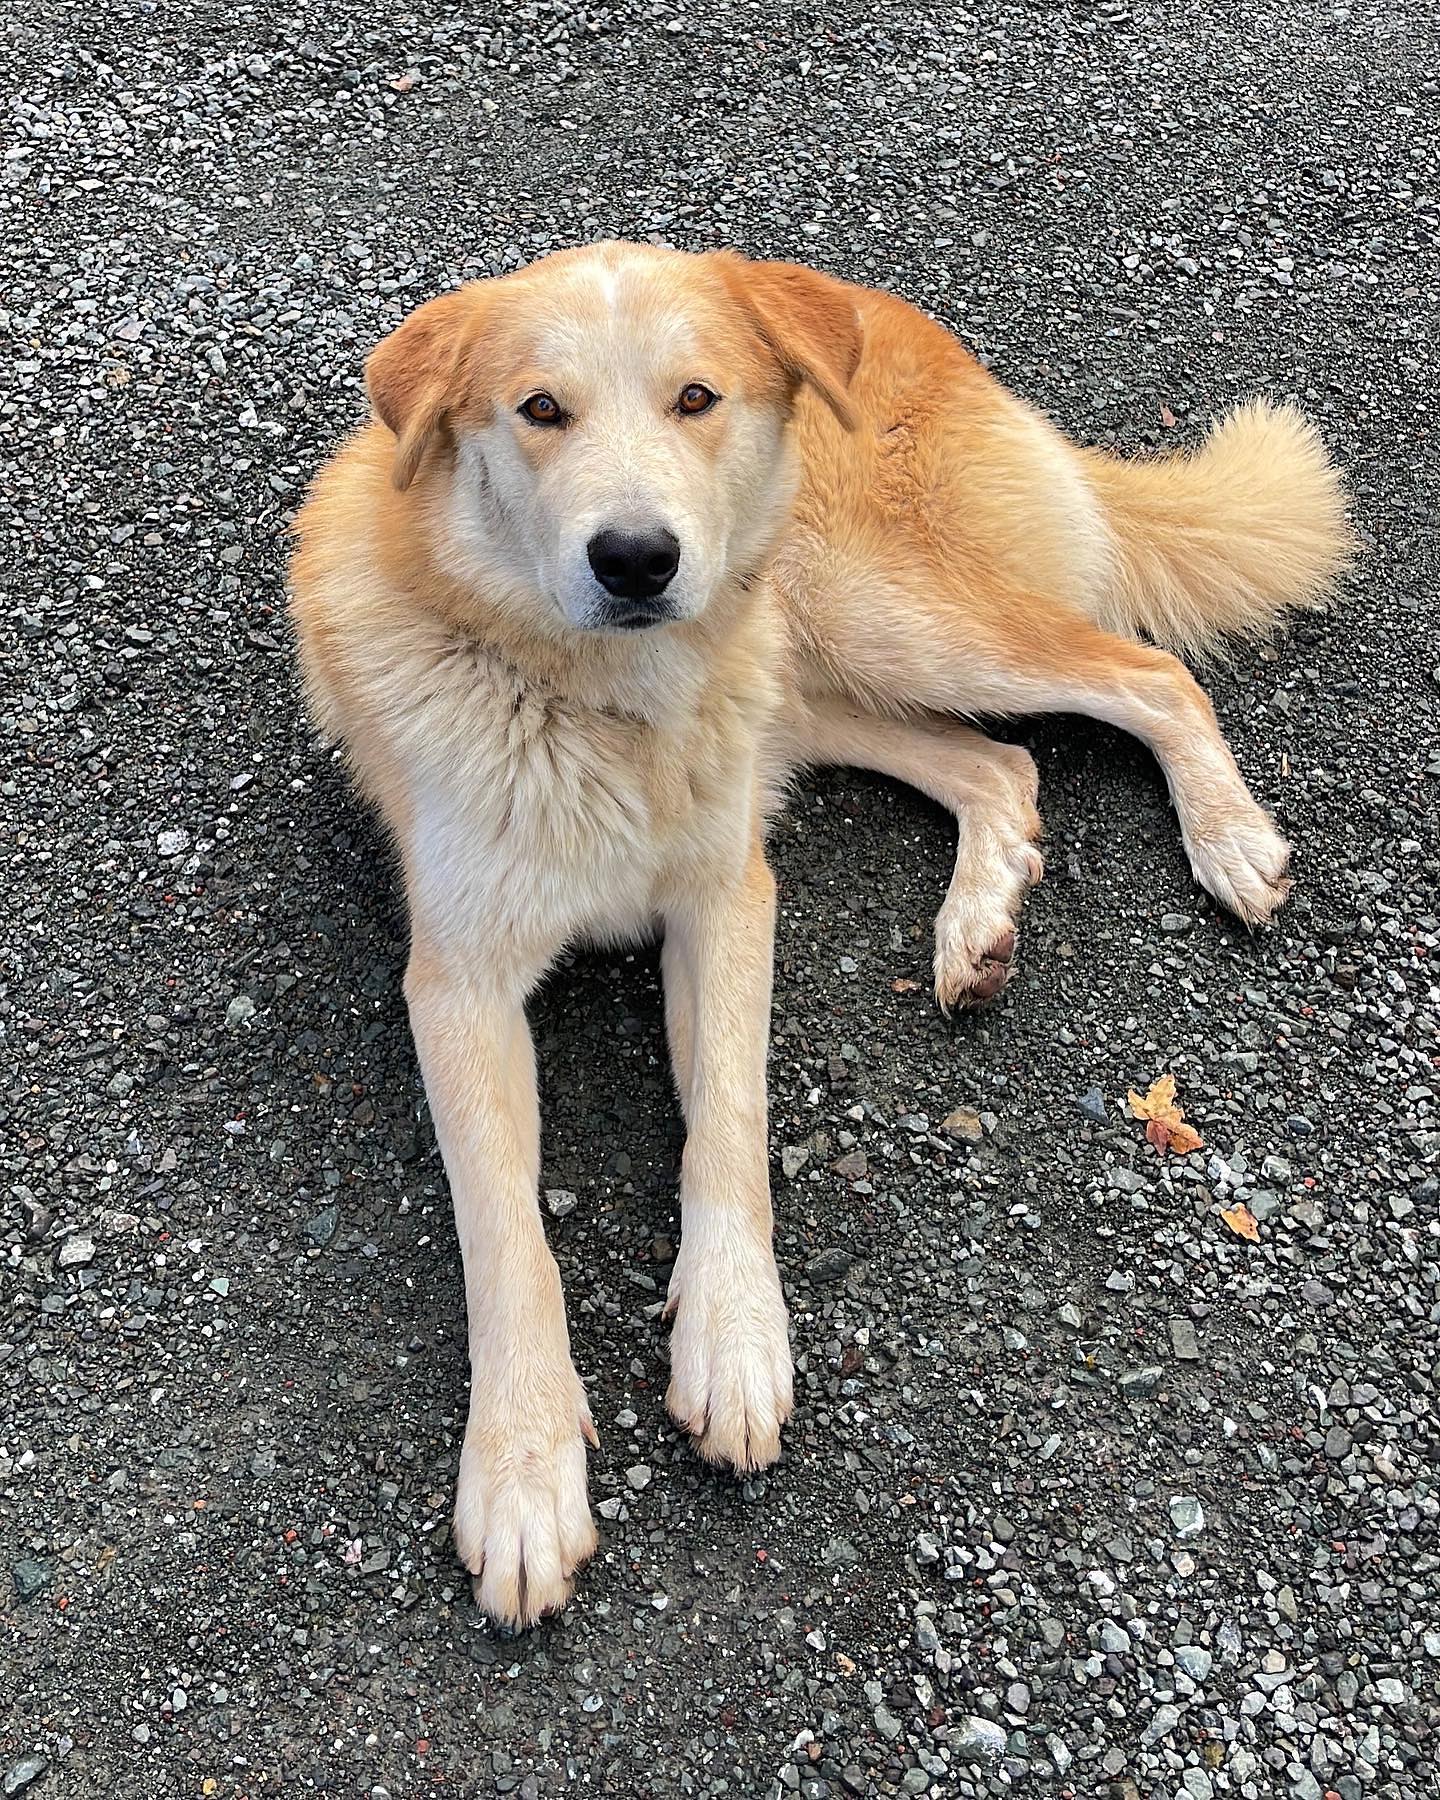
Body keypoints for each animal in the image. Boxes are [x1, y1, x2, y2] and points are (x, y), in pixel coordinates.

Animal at [289, 232, 1353, 1627]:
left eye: (696, 398)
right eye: (540, 410)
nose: (637, 558)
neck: (609, 713)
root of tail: (880, 309)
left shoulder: (729, 898)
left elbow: (729, 1127)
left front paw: (733, 1339)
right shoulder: (461, 985)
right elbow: (509, 1237)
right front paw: (522, 1473)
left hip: (874, 611)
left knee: (1147, 676)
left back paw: (1226, 838)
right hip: (819, 667)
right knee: (1002, 765)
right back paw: (979, 922)